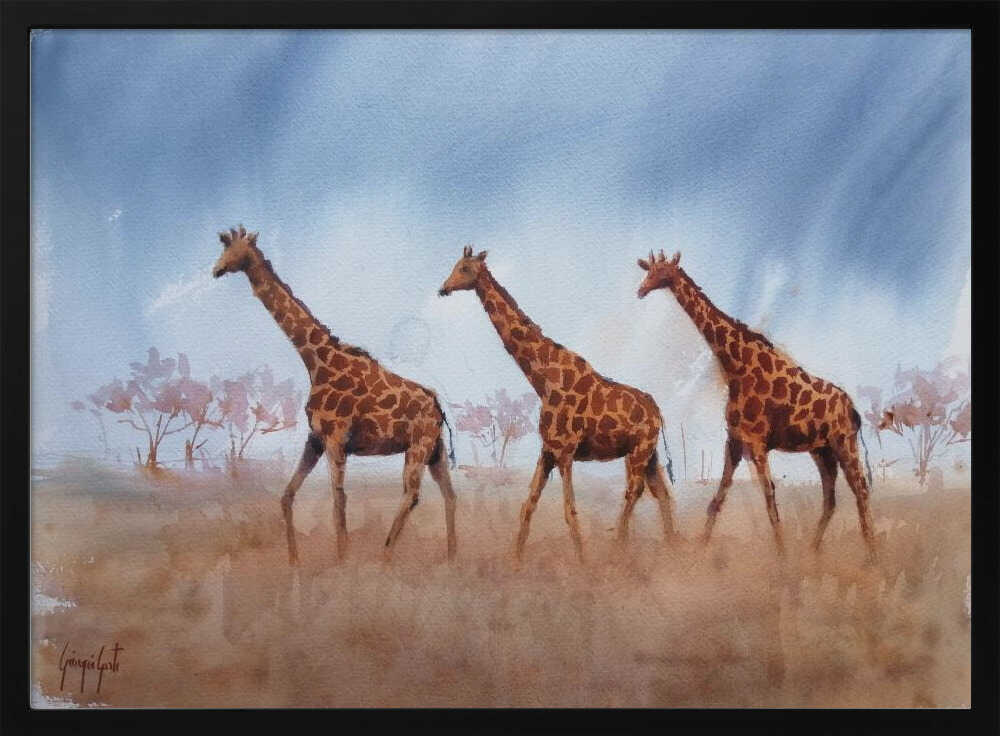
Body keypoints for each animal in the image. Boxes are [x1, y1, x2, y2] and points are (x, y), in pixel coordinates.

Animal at [212, 226, 457, 564]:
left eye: (235, 251)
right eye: (223, 248)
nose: (216, 269)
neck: (316, 361)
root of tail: (438, 408)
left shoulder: (336, 438)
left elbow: (338, 500)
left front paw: (342, 562)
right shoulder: (315, 438)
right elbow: (287, 496)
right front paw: (294, 562)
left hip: (418, 446)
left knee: (412, 494)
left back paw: (385, 557)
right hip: (435, 450)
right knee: (449, 495)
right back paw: (452, 558)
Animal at [439, 246, 676, 560]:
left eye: (465, 268)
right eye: (455, 266)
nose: (443, 289)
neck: (543, 380)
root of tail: (657, 412)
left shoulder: (565, 451)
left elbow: (569, 511)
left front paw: (583, 563)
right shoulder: (548, 450)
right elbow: (528, 506)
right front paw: (515, 561)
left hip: (639, 451)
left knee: (633, 492)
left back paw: (619, 550)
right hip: (648, 454)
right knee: (661, 493)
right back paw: (672, 547)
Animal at [636, 250, 877, 562]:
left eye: (662, 272)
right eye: (649, 271)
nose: (641, 290)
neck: (735, 366)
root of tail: (854, 411)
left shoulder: (758, 442)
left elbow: (769, 498)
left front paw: (782, 557)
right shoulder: (735, 441)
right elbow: (718, 499)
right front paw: (701, 549)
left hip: (843, 443)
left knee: (860, 489)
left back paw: (872, 555)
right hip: (821, 450)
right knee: (831, 498)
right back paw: (813, 551)